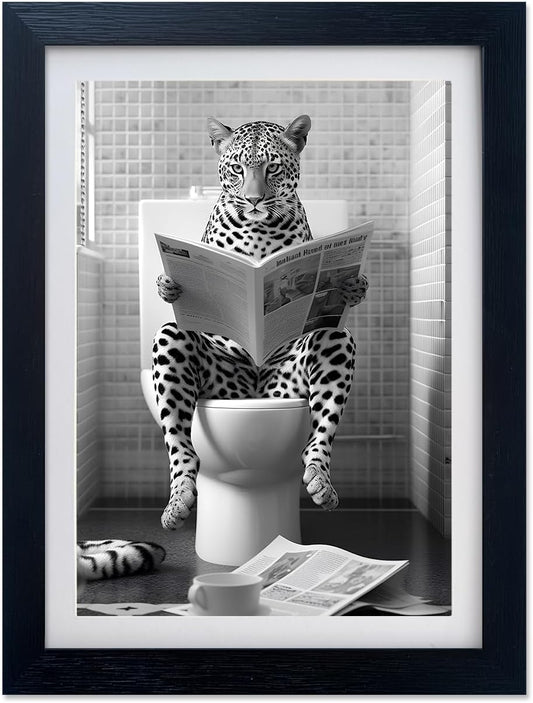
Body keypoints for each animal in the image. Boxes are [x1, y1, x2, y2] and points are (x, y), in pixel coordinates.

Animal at [154, 115, 369, 530]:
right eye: (238, 168)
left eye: (272, 168)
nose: (253, 199)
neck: (258, 231)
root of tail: (252, 391)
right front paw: (169, 286)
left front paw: (353, 286)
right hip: (194, 365)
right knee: (182, 445)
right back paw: (179, 499)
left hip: (307, 366)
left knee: (319, 429)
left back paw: (320, 480)